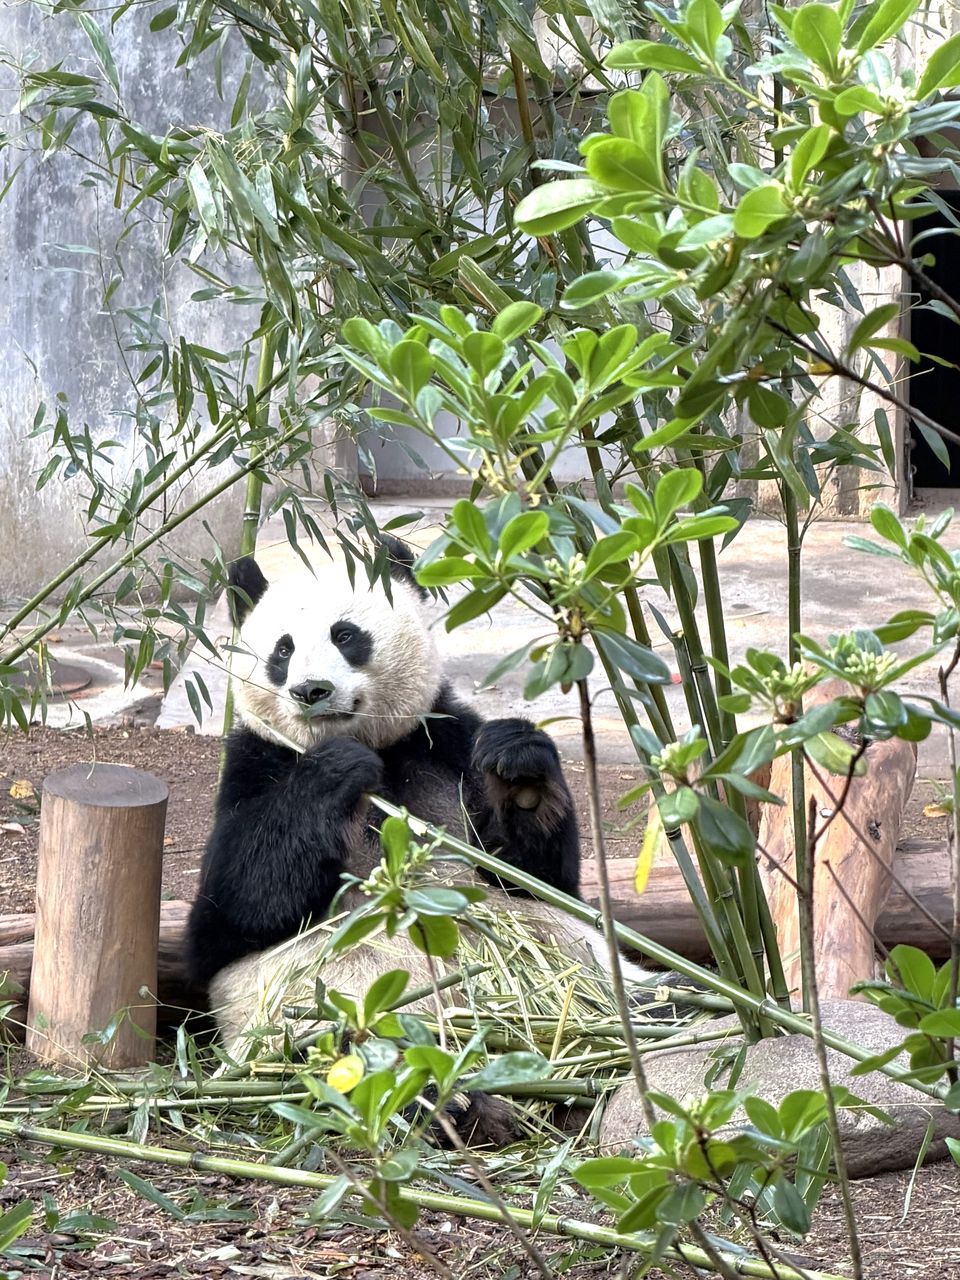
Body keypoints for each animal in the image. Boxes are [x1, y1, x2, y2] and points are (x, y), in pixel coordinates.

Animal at [186, 538, 661, 1126]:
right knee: (342, 1053)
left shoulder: (443, 744)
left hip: (595, 977)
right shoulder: (253, 765)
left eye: (346, 635)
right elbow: (232, 914)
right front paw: (336, 769)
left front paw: (519, 767)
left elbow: (539, 880)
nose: (311, 690)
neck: (377, 748)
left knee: (658, 1000)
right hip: (307, 1019)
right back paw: (453, 1102)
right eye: (282, 650)